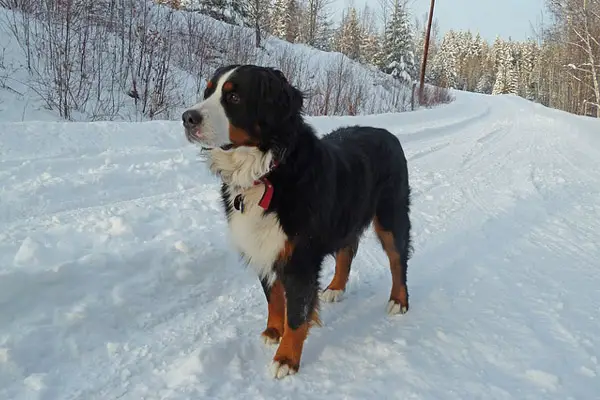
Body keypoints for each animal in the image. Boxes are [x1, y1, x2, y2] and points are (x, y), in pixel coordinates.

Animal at [180, 64, 410, 380]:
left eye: (234, 97)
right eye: (207, 91)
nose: (187, 118)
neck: (266, 173)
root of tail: (388, 134)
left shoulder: (300, 257)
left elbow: (298, 314)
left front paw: (286, 358)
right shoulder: (264, 246)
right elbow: (275, 297)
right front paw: (272, 332)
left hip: (391, 214)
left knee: (398, 259)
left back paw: (399, 300)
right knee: (347, 250)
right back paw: (336, 288)